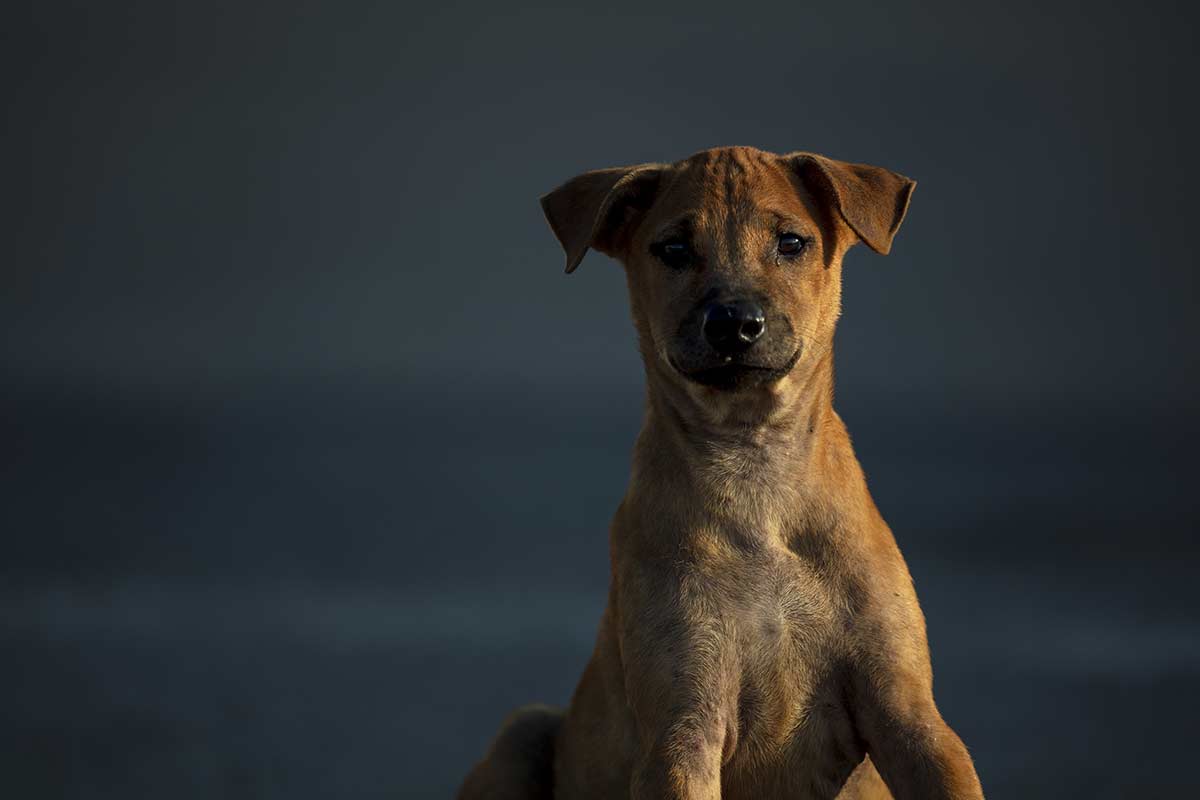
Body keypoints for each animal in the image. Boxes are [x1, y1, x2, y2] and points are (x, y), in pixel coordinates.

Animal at [458, 146, 984, 796]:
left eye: (791, 242)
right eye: (674, 249)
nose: (734, 321)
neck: (754, 465)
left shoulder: (912, 716)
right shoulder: (684, 729)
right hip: (521, 734)